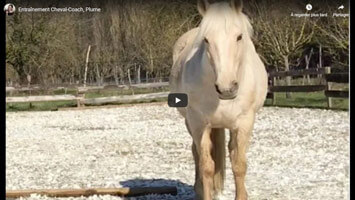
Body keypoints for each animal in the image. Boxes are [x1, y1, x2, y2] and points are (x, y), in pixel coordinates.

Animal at [170, 0, 268, 199]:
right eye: (206, 40)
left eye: (239, 37)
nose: (227, 88)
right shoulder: (199, 124)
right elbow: (207, 166)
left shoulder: (244, 123)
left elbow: (239, 165)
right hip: (190, 123)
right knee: (196, 153)